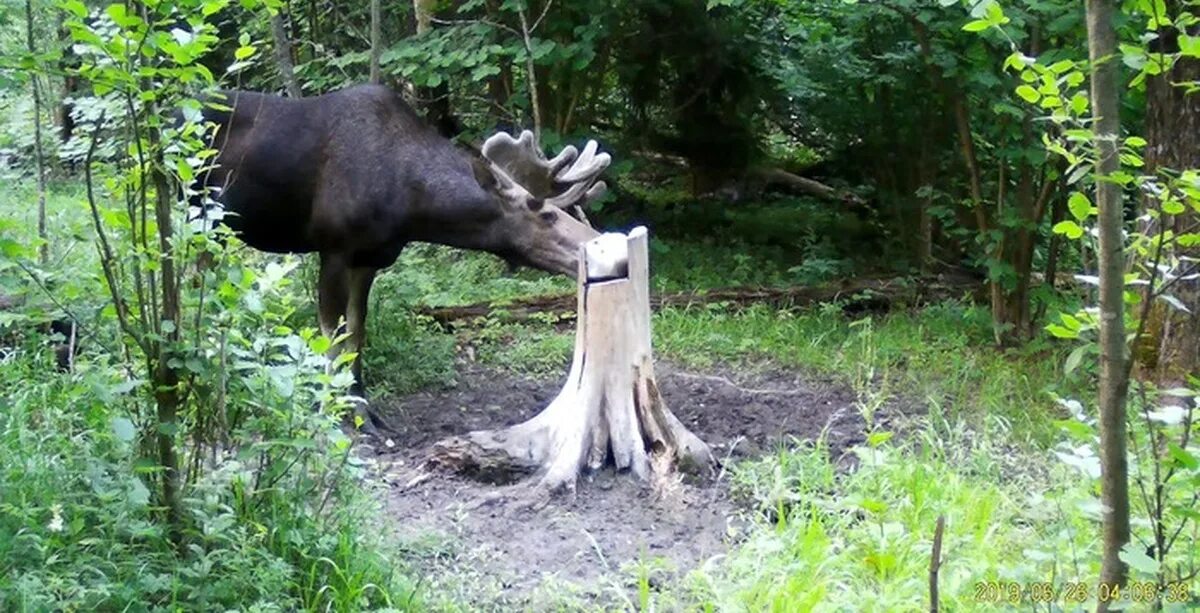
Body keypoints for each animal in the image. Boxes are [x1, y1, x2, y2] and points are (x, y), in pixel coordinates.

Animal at [199, 85, 609, 431]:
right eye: (545, 214)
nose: (598, 242)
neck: (411, 207)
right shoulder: (334, 248)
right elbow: (332, 334)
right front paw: (331, 409)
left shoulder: (370, 258)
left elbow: (357, 332)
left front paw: (363, 408)